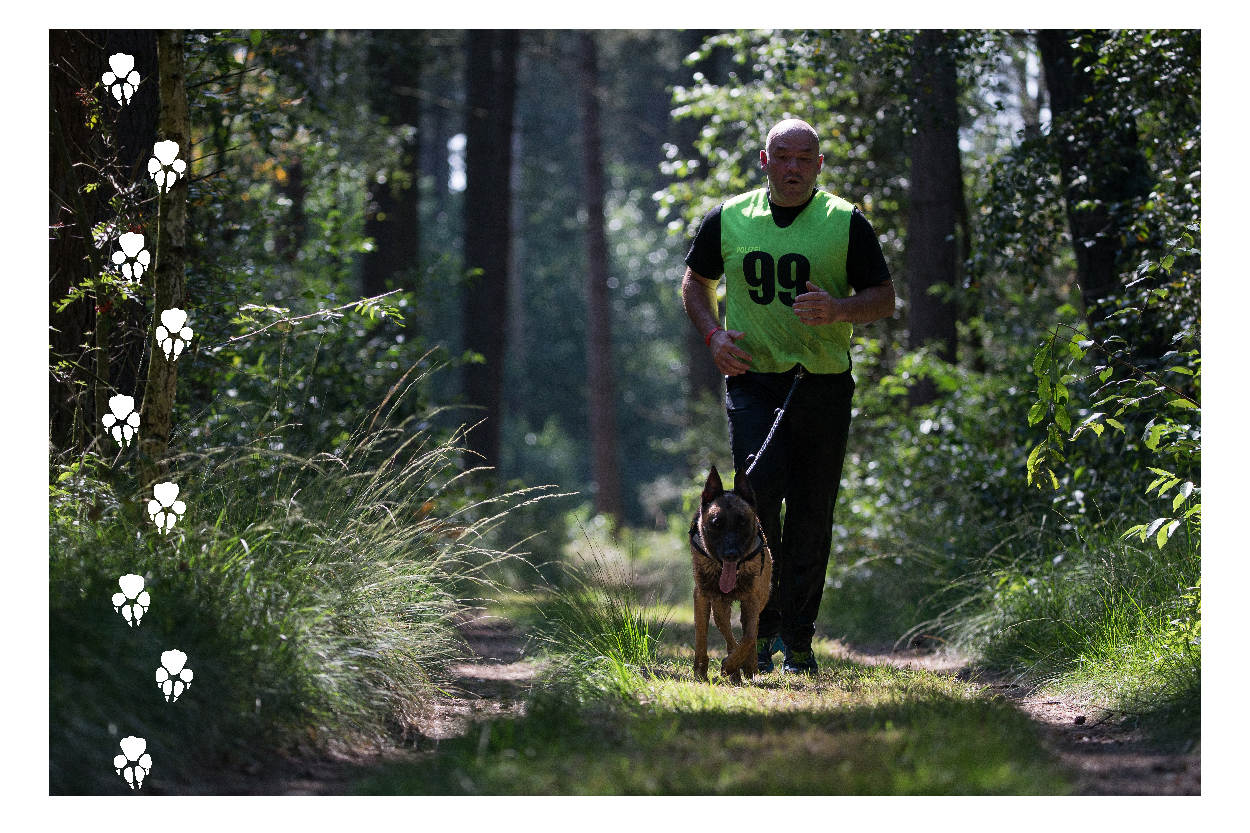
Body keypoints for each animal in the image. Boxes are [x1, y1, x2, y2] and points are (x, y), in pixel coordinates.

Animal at [690, 465, 773, 682]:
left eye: (742, 523)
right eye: (716, 523)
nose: (731, 554)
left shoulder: (752, 599)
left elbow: (750, 636)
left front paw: (734, 664)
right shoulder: (705, 596)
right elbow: (702, 634)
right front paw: (702, 670)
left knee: (748, 632)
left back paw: (747, 666)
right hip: (719, 604)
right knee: (725, 630)